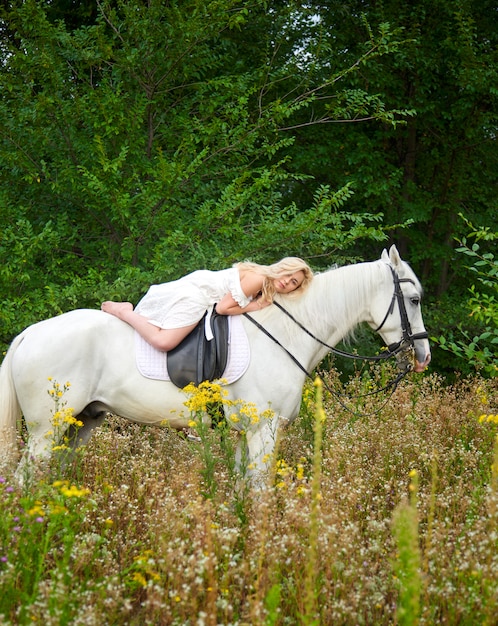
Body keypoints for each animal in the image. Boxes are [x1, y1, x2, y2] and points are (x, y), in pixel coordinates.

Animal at [0, 246, 428, 480]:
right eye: (414, 300)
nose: (423, 356)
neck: (287, 335)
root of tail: (28, 334)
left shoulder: (242, 435)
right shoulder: (263, 431)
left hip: (81, 424)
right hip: (45, 431)